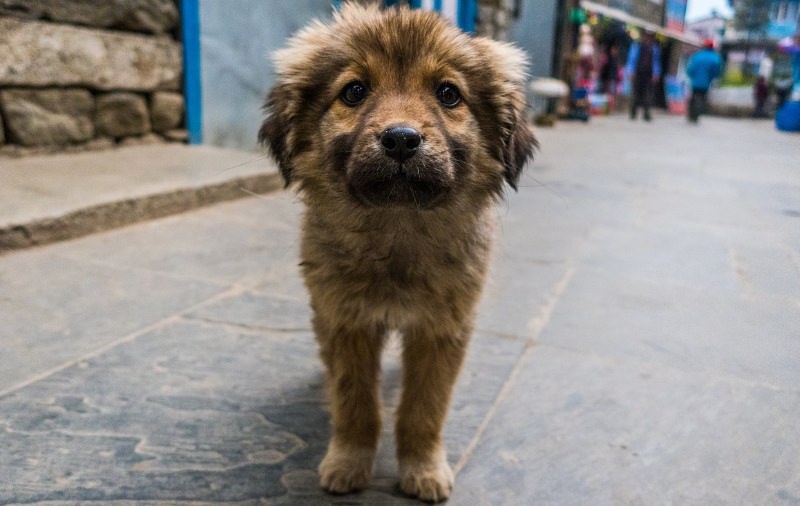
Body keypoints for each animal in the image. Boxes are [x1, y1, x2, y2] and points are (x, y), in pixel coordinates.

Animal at [262, 3, 536, 502]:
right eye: (354, 91)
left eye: (448, 94)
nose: (402, 139)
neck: (397, 232)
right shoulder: (345, 320)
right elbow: (355, 403)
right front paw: (349, 462)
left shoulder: (442, 329)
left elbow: (423, 409)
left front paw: (423, 468)